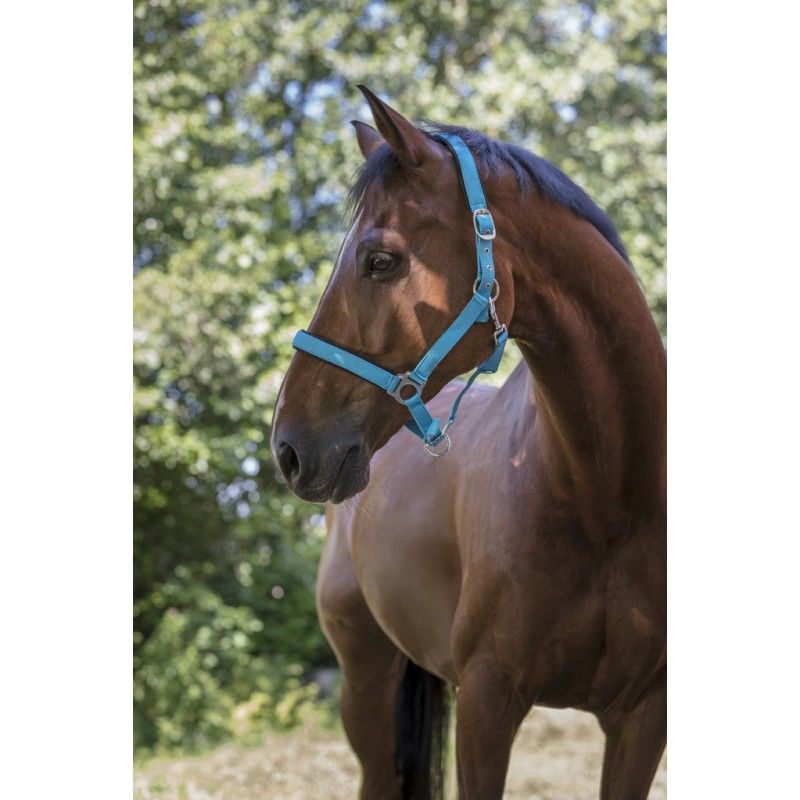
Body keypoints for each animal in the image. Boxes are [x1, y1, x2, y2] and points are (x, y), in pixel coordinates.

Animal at [271, 84, 666, 800]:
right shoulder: (487, 703)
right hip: (364, 683)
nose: (287, 447)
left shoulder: (644, 716)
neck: (608, 501)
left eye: (381, 259)